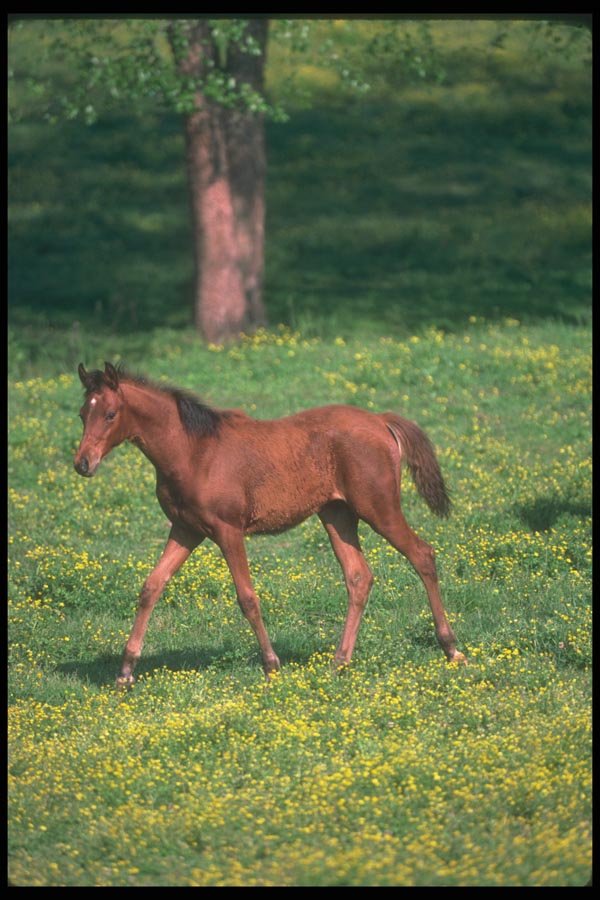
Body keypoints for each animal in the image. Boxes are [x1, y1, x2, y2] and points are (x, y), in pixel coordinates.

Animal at [74, 361, 466, 688]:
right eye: (81, 413)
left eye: (110, 414)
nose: (83, 464)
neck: (193, 452)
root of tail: (380, 420)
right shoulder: (186, 530)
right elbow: (151, 587)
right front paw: (125, 672)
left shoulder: (228, 531)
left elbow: (247, 598)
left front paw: (271, 664)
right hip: (337, 514)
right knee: (358, 577)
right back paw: (339, 662)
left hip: (379, 509)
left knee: (422, 555)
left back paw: (452, 649)